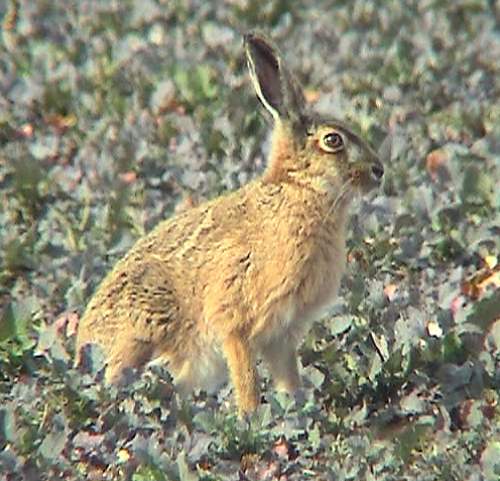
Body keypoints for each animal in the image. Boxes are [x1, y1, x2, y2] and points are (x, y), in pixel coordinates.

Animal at [75, 32, 384, 416]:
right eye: (333, 140)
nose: (379, 171)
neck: (300, 189)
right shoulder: (235, 323)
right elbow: (247, 380)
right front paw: (250, 416)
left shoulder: (281, 334)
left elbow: (288, 378)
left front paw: (296, 408)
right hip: (145, 326)